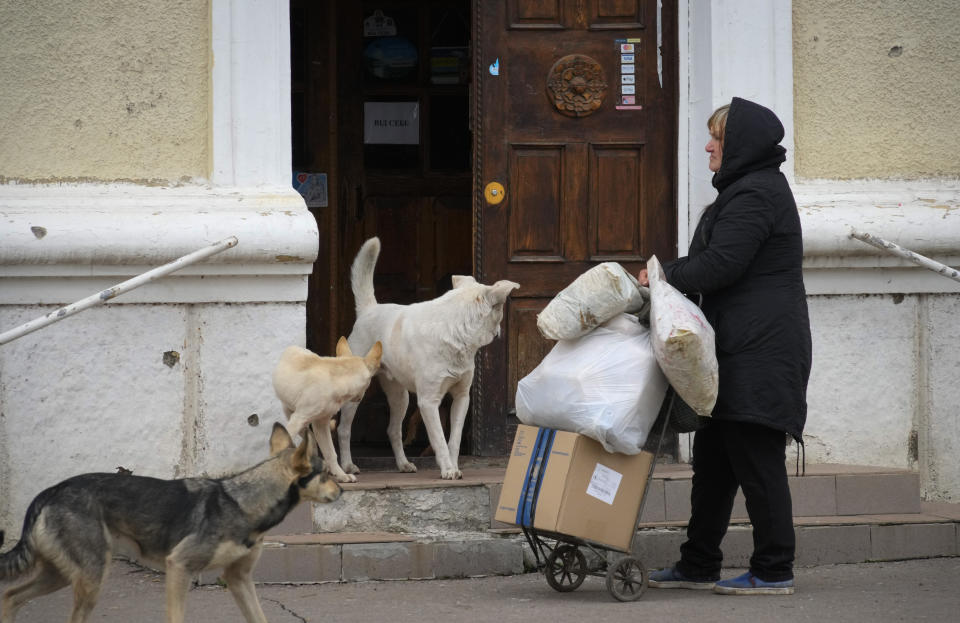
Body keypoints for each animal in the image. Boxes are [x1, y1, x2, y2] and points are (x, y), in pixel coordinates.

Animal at [0, 424, 344, 623]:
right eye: (327, 473)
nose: (342, 489)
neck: (243, 502)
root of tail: (51, 491)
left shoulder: (239, 579)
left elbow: (259, 618)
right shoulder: (179, 567)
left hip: (63, 575)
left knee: (10, 596)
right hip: (90, 579)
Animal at [338, 236, 516, 480]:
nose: (500, 332)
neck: (456, 329)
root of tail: (369, 310)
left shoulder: (461, 398)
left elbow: (454, 439)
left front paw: (454, 466)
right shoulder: (429, 402)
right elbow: (439, 439)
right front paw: (447, 469)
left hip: (400, 396)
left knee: (393, 430)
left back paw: (403, 464)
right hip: (357, 393)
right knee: (344, 429)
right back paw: (347, 465)